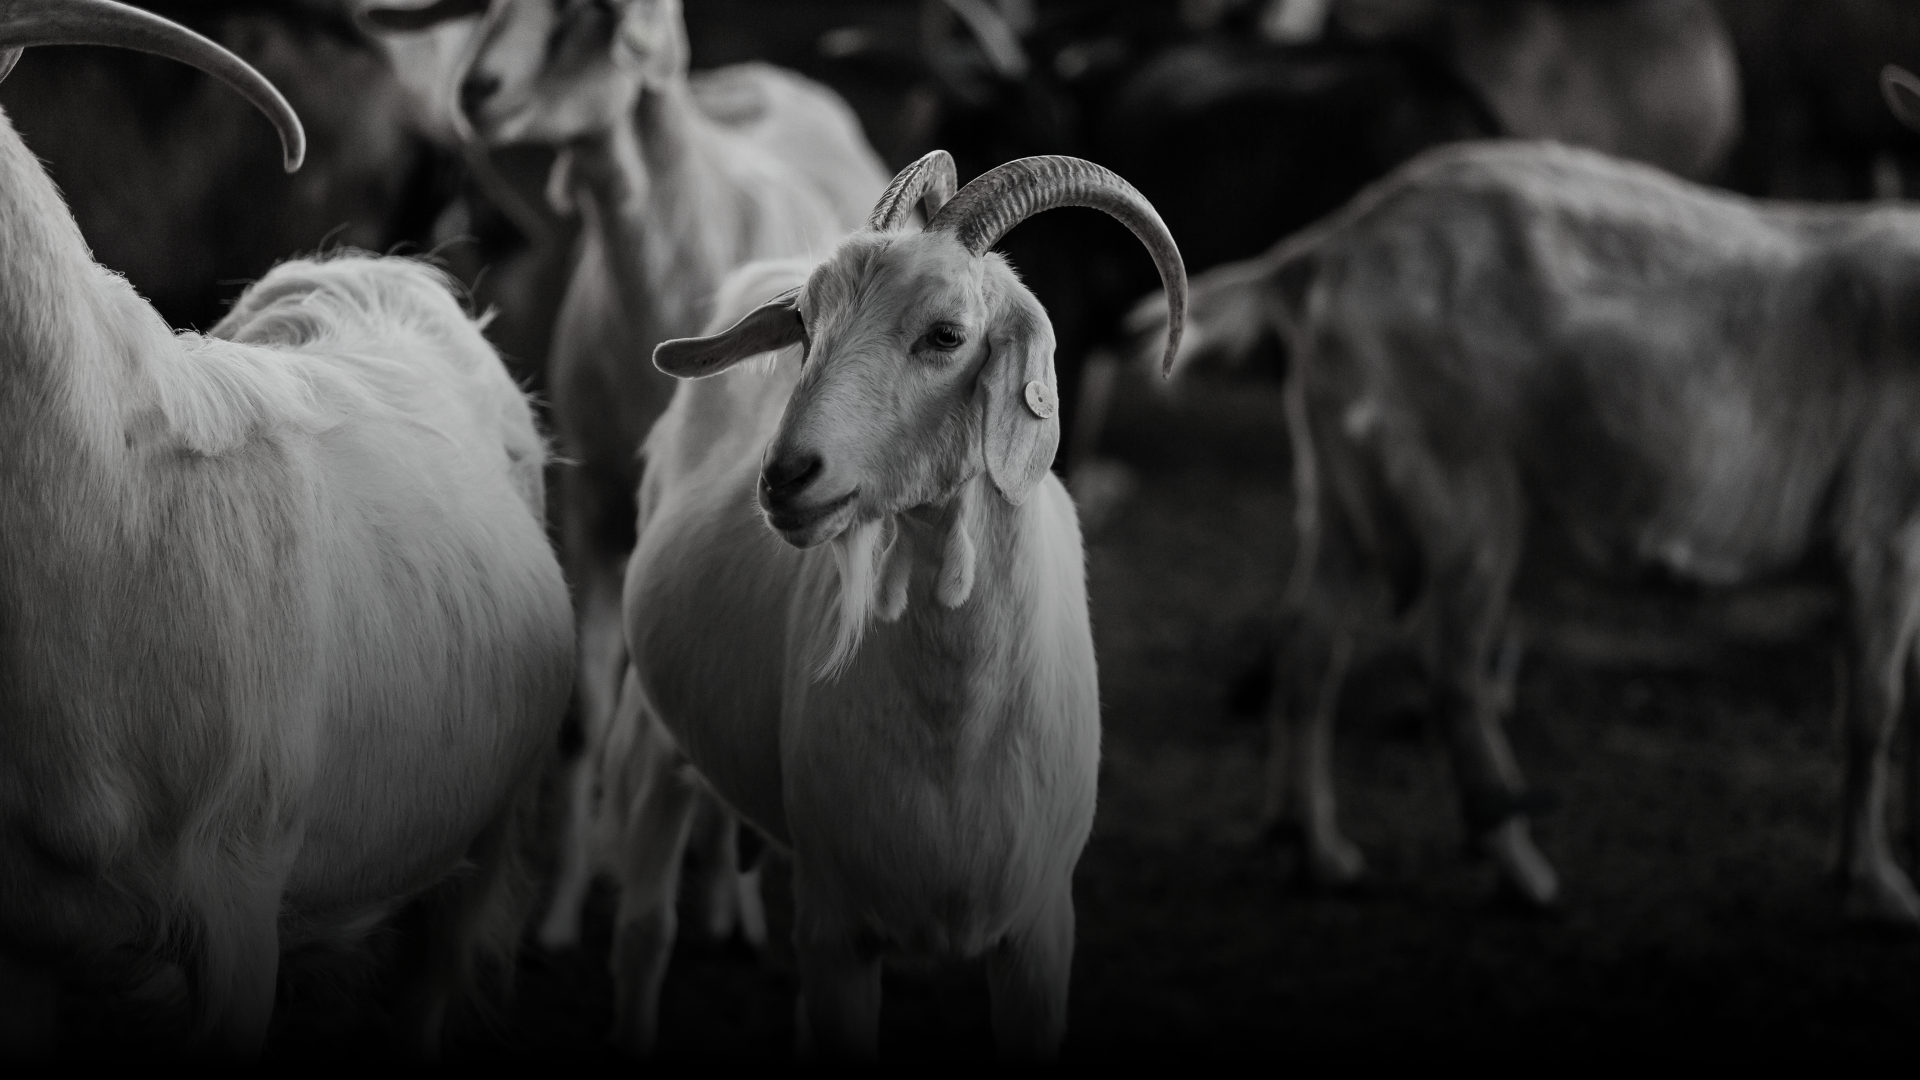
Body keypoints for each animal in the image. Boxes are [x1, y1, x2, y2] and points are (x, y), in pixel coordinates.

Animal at [363, 0, 891, 951]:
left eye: (585, 17)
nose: (476, 90)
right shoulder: (594, 509)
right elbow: (582, 720)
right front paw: (560, 913)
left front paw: (722, 906)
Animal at [604, 151, 1185, 1059]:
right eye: (804, 327)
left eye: (946, 335)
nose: (786, 477)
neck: (955, 733)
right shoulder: (837, 931)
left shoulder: (1038, 932)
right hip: (650, 727)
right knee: (642, 933)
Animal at [1140, 101, 1920, 922]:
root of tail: (1327, 249)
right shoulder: (1884, 529)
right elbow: (1874, 708)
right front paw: (1879, 886)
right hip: (1462, 479)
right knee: (1447, 660)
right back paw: (1521, 869)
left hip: (1340, 479)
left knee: (1309, 640)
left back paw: (1319, 851)